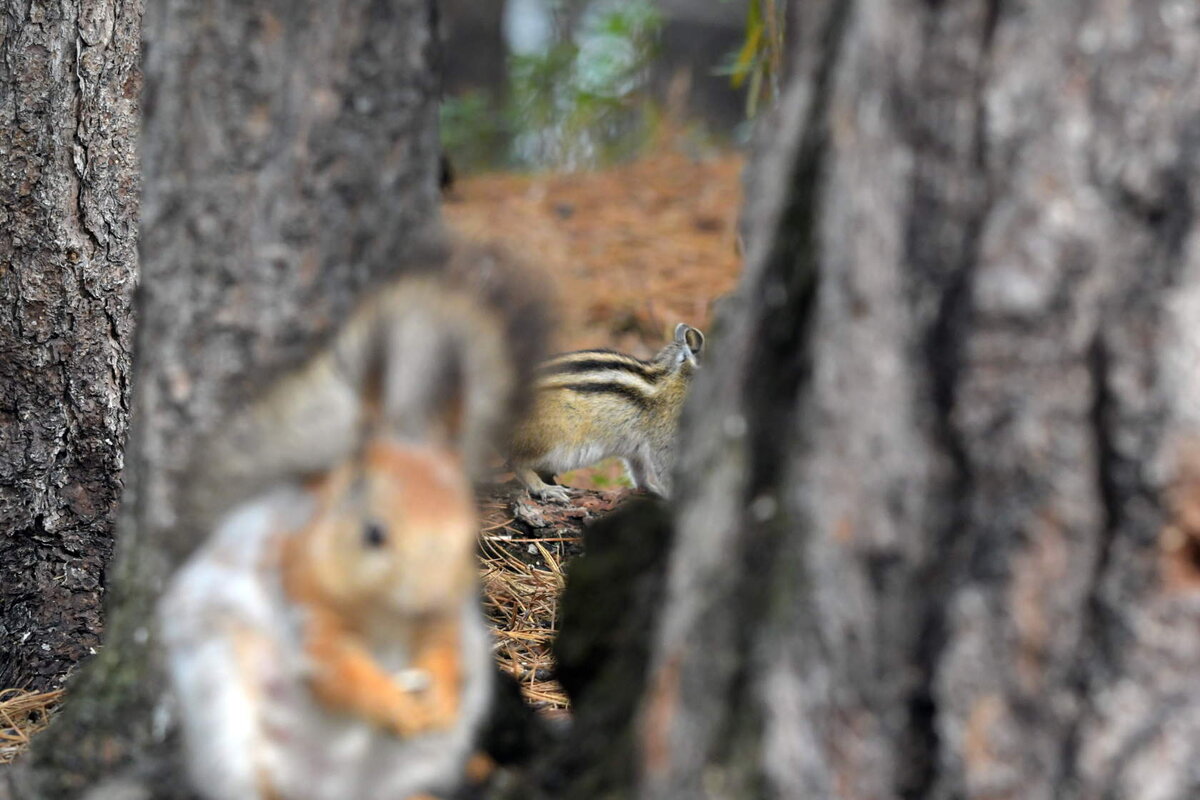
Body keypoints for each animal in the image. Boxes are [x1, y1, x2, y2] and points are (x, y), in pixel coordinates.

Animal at [162, 242, 547, 800]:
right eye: (373, 534)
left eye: (463, 537)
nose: (425, 598)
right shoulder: (304, 608)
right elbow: (336, 671)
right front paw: (391, 703)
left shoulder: (445, 620)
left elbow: (442, 651)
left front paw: (437, 698)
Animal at [506, 323, 700, 501]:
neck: (671, 380)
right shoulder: (664, 440)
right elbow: (665, 471)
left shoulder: (636, 451)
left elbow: (639, 472)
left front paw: (651, 488)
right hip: (552, 438)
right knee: (517, 462)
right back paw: (544, 488)